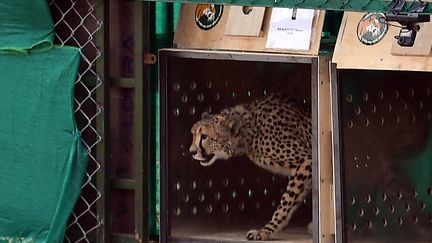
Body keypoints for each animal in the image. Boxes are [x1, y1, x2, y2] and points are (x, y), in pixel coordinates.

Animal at [189, 94, 310, 240]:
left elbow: (286, 201)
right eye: (193, 135)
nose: (191, 152)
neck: (250, 133)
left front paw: (267, 230)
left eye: (204, 136)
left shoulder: (305, 160)